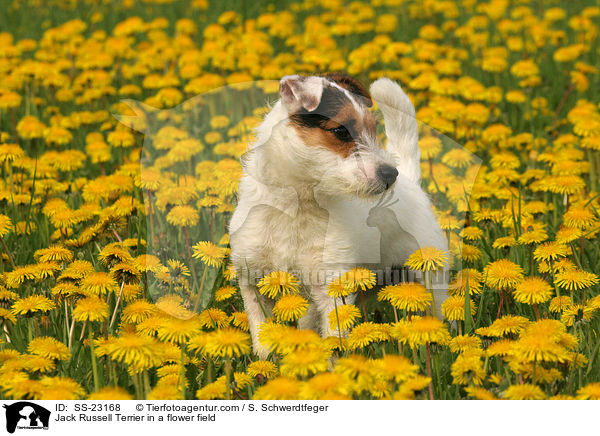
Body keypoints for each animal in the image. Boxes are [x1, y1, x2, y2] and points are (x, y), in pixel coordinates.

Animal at [230, 74, 450, 358]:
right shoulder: (253, 281)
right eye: (341, 131)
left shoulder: (332, 286)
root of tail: (411, 182)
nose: (391, 174)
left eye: (372, 128)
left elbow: (334, 340)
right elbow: (262, 334)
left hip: (431, 278)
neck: (297, 206)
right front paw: (266, 363)